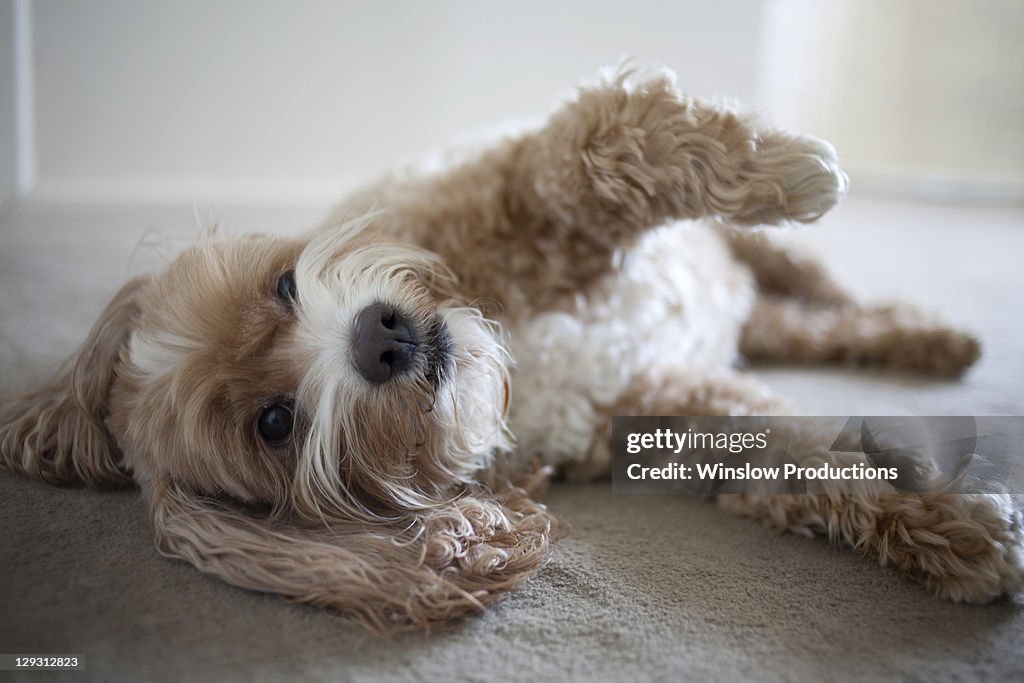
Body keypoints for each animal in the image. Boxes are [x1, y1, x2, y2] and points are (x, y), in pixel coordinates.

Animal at [0, 66, 1019, 634]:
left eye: (282, 284)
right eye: (274, 423)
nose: (379, 335)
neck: (509, 362)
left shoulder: (517, 190)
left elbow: (591, 147)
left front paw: (780, 165)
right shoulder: (658, 407)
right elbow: (805, 460)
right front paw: (959, 527)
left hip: (771, 265)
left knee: (824, 290)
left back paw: (933, 329)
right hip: (758, 329)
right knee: (814, 327)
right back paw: (922, 340)